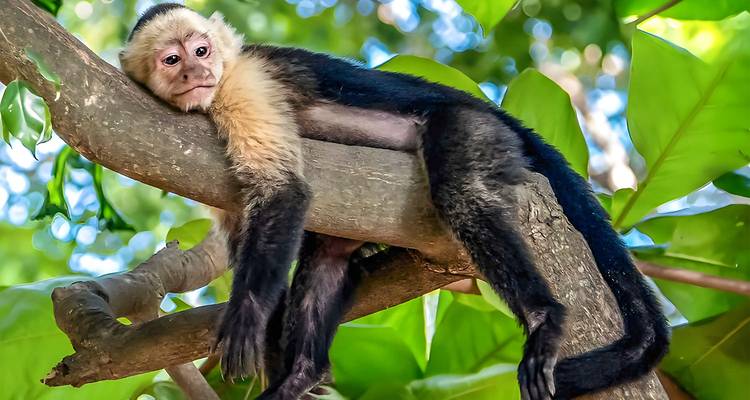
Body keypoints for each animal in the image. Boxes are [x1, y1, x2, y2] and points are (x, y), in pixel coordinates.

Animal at [120, 4, 669, 400]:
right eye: (172, 60)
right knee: (330, 254)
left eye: (201, 49)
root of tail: (496, 114)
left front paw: (246, 321)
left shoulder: (243, 83)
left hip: (475, 130)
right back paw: (302, 374)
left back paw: (544, 318)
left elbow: (283, 191)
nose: (195, 72)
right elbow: (249, 237)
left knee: (460, 191)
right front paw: (270, 343)